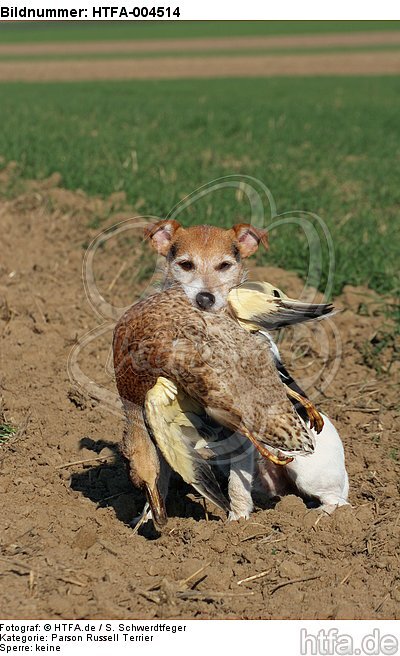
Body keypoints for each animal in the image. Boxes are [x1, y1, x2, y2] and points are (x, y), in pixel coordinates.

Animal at [142, 219, 348, 516]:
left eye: (224, 265)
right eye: (186, 264)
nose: (205, 298)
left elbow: (236, 486)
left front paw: (237, 520)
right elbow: (162, 471)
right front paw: (149, 513)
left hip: (308, 469)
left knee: (337, 500)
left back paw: (318, 515)